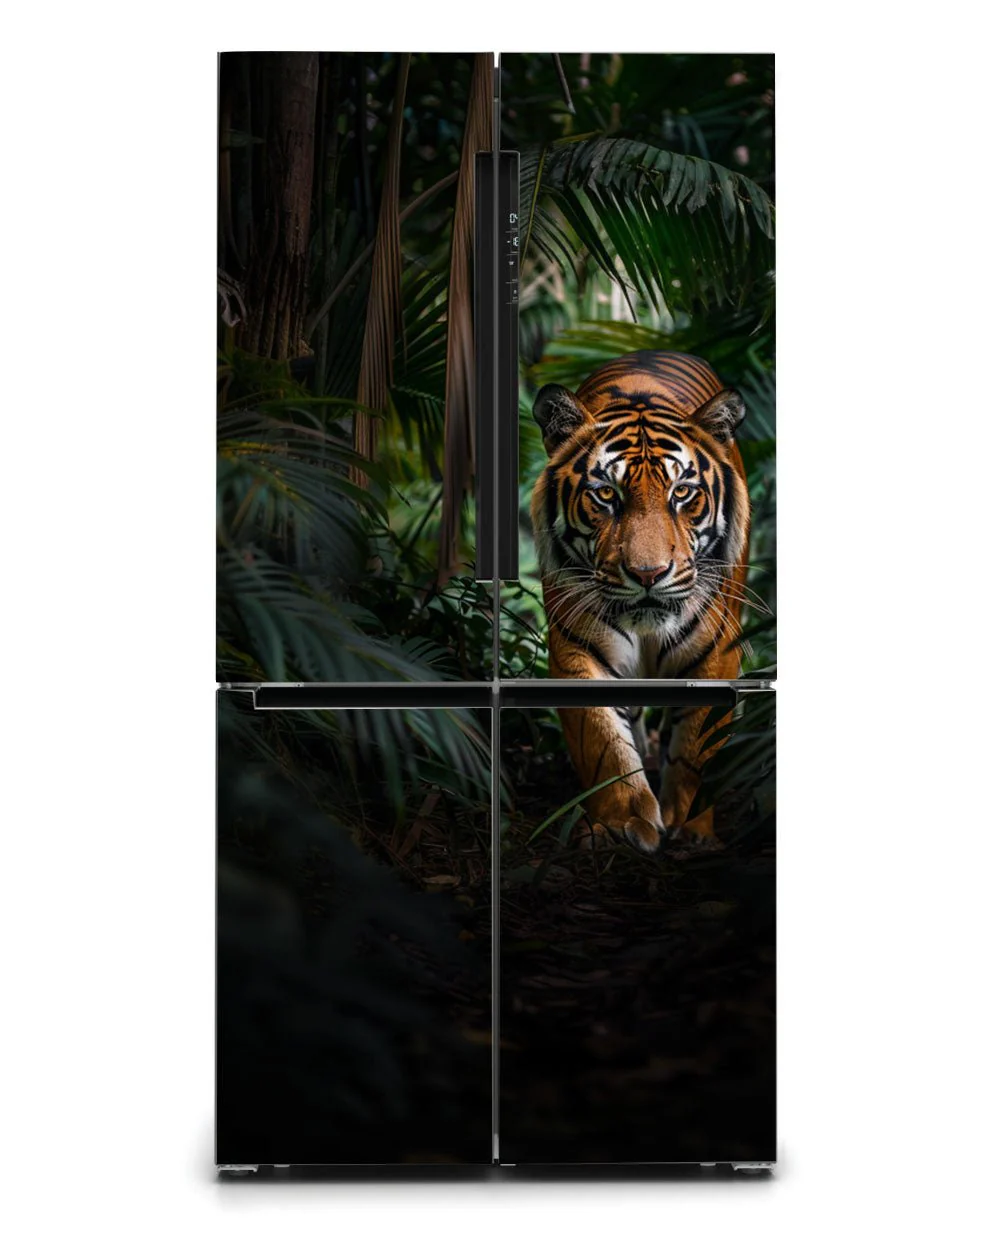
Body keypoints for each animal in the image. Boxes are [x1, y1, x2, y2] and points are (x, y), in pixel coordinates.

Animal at [531, 350, 752, 854]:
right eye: (606, 494)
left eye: (682, 492)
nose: (649, 574)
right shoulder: (577, 652)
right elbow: (604, 743)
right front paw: (624, 822)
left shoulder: (716, 656)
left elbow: (695, 749)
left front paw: (689, 826)